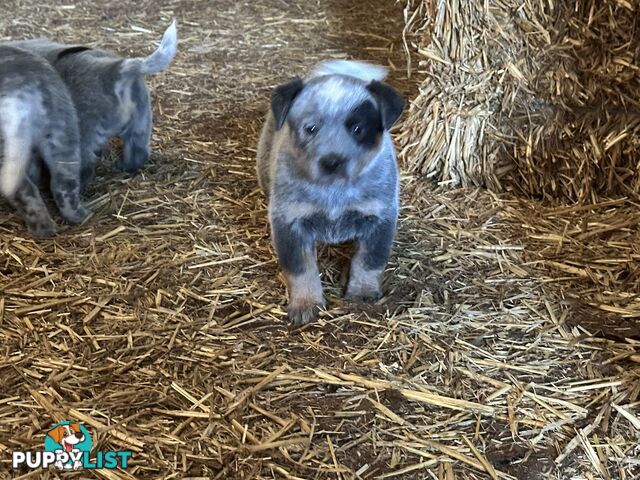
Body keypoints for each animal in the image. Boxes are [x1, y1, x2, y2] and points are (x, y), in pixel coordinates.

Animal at [256, 59, 402, 322]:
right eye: (311, 128)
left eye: (357, 128)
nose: (332, 161)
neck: (335, 192)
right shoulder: (289, 221)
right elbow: (301, 269)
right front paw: (305, 303)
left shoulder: (380, 217)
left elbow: (369, 262)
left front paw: (362, 294)